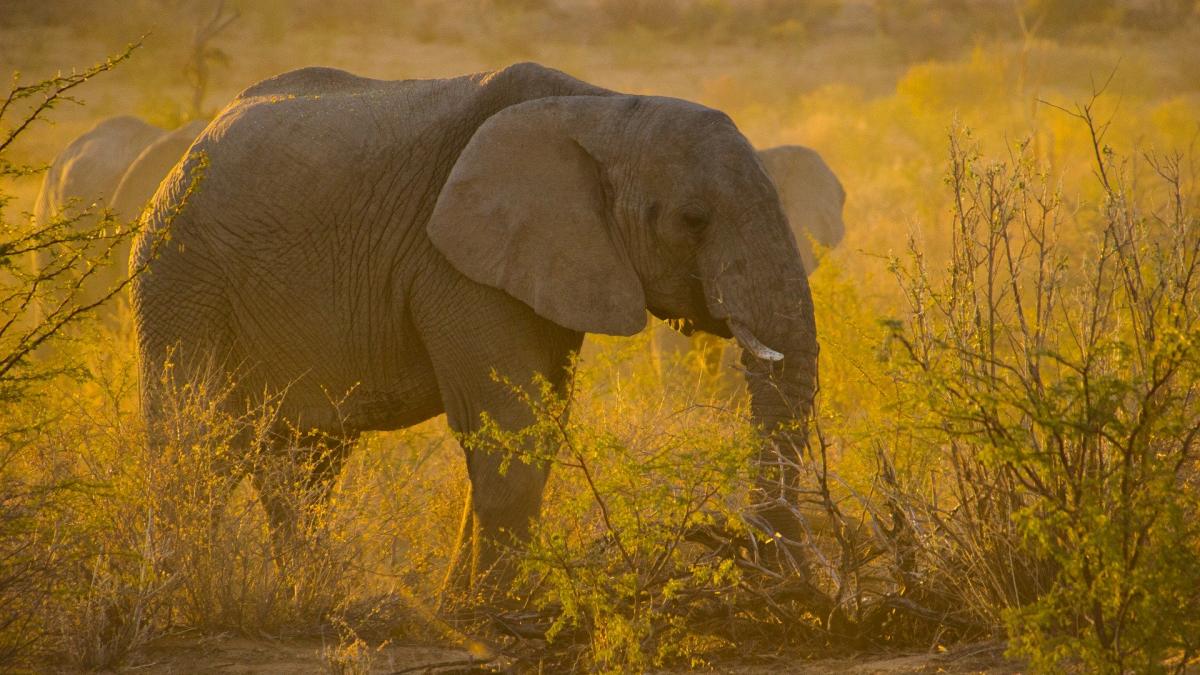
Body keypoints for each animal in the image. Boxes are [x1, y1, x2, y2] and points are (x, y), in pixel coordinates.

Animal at [131, 62, 819, 601]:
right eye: (693, 219)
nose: (756, 563)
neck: (606, 107)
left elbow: (537, 423)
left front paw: (465, 607)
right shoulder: (453, 262)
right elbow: (512, 425)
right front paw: (491, 615)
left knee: (302, 464)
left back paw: (316, 600)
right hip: (180, 275)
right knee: (198, 442)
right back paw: (184, 599)